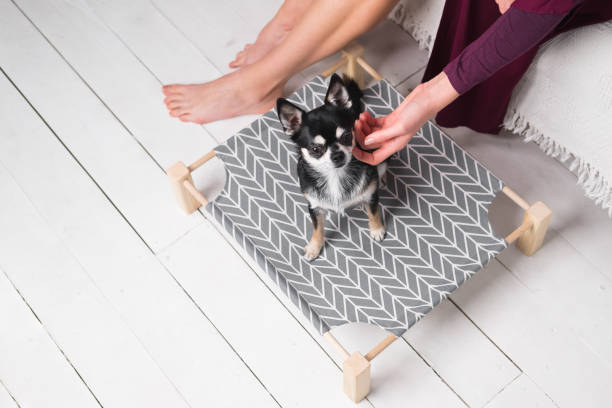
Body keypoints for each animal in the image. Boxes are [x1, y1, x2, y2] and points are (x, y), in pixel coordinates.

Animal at [278, 74, 388, 260]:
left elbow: (374, 213)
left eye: (347, 136)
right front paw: (314, 246)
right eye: (316, 149)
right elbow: (317, 227)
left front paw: (377, 229)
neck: (335, 175)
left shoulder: (370, 196)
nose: (337, 155)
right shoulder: (314, 206)